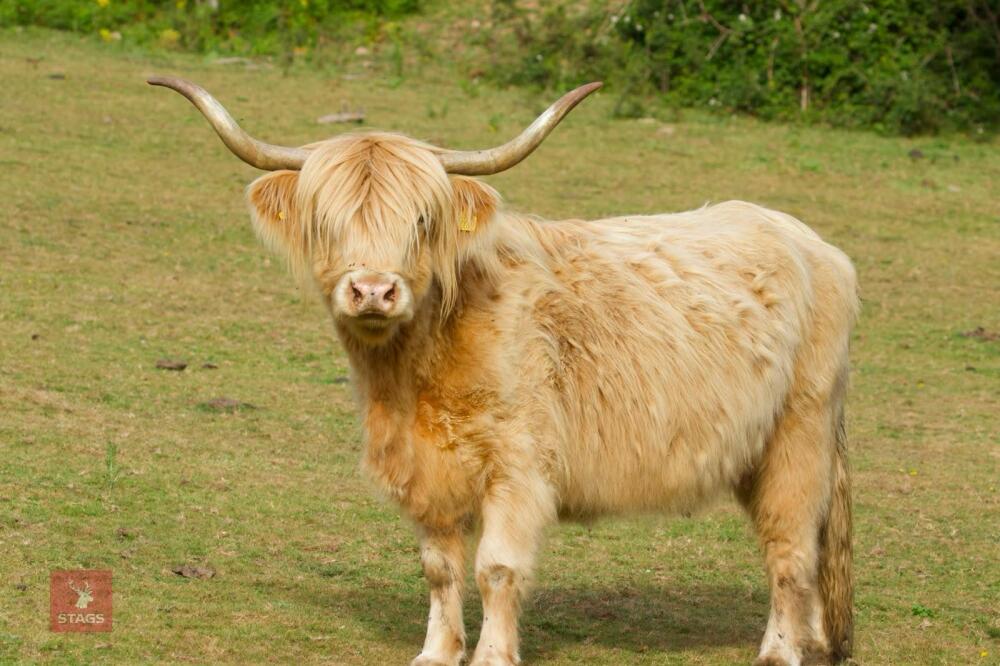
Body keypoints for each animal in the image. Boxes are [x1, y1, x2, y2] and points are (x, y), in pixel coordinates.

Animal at [150, 76, 858, 666]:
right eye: (327, 221)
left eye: (422, 219)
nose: (374, 290)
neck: (415, 372)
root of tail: (807, 239)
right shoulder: (427, 471)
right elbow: (440, 567)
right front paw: (437, 653)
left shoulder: (518, 467)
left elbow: (495, 568)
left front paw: (492, 654)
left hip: (799, 433)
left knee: (790, 548)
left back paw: (780, 651)